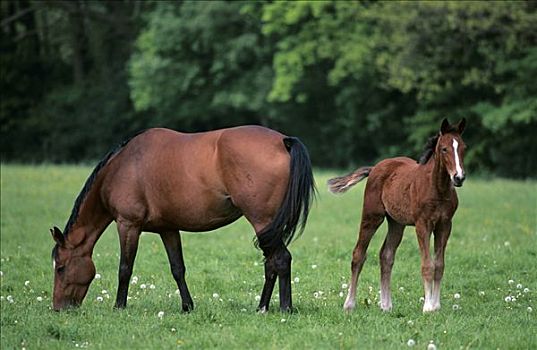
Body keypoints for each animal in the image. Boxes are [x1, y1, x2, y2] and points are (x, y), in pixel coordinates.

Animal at [50, 127, 314, 314]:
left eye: (60, 267)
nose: (58, 308)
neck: (124, 166)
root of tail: (283, 141)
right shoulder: (168, 229)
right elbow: (177, 268)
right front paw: (187, 307)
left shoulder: (128, 225)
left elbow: (125, 268)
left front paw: (119, 307)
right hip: (269, 227)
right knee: (272, 263)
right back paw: (262, 307)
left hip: (262, 222)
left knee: (280, 259)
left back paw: (284, 308)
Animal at [326, 119, 464, 314]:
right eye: (444, 149)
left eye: (464, 147)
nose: (459, 177)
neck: (438, 189)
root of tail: (374, 168)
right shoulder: (423, 225)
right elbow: (427, 265)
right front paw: (428, 307)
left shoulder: (445, 225)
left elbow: (439, 265)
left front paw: (436, 305)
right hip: (372, 216)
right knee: (358, 254)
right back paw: (349, 304)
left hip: (397, 223)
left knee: (386, 255)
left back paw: (386, 305)